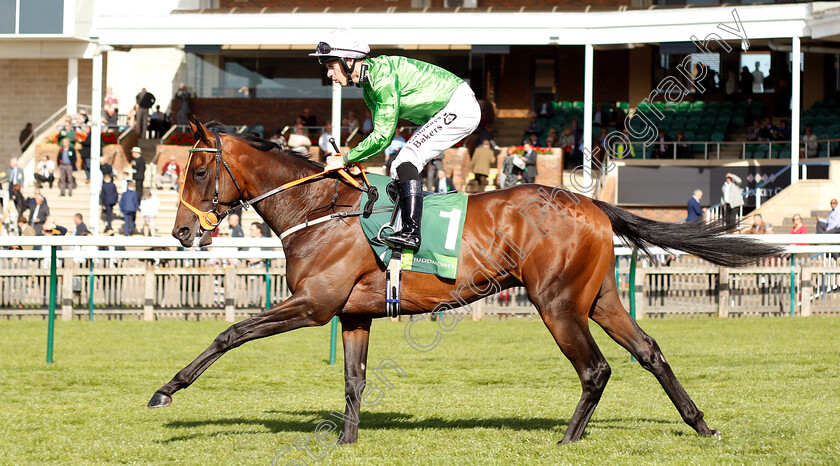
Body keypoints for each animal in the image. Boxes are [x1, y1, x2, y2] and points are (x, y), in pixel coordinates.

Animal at [148, 119, 784, 444]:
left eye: (198, 169)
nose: (180, 231)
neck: (320, 209)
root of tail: (592, 203)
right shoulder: (352, 313)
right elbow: (353, 381)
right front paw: (347, 441)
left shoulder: (312, 304)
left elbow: (229, 334)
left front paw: (166, 390)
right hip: (599, 298)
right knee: (649, 351)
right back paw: (700, 425)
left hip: (556, 302)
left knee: (596, 369)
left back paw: (568, 440)